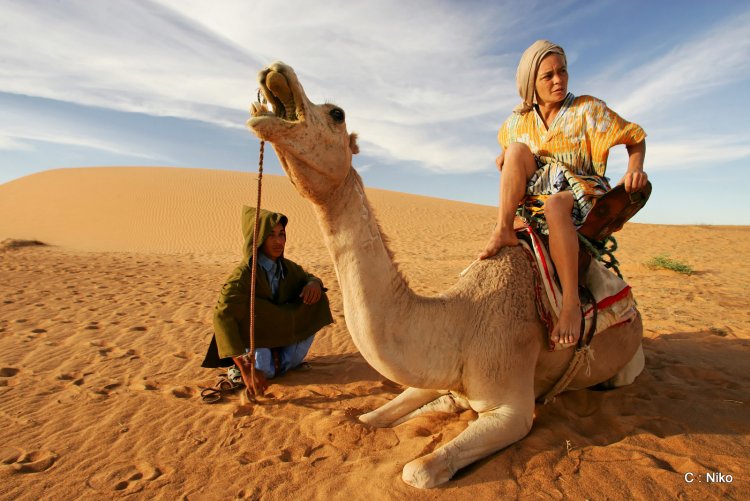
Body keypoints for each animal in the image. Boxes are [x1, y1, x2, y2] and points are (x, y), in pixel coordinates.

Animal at [246, 62, 645, 489]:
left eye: (337, 113)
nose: (277, 71)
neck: (460, 324)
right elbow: (368, 418)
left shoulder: (513, 410)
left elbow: (417, 469)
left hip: (626, 365)